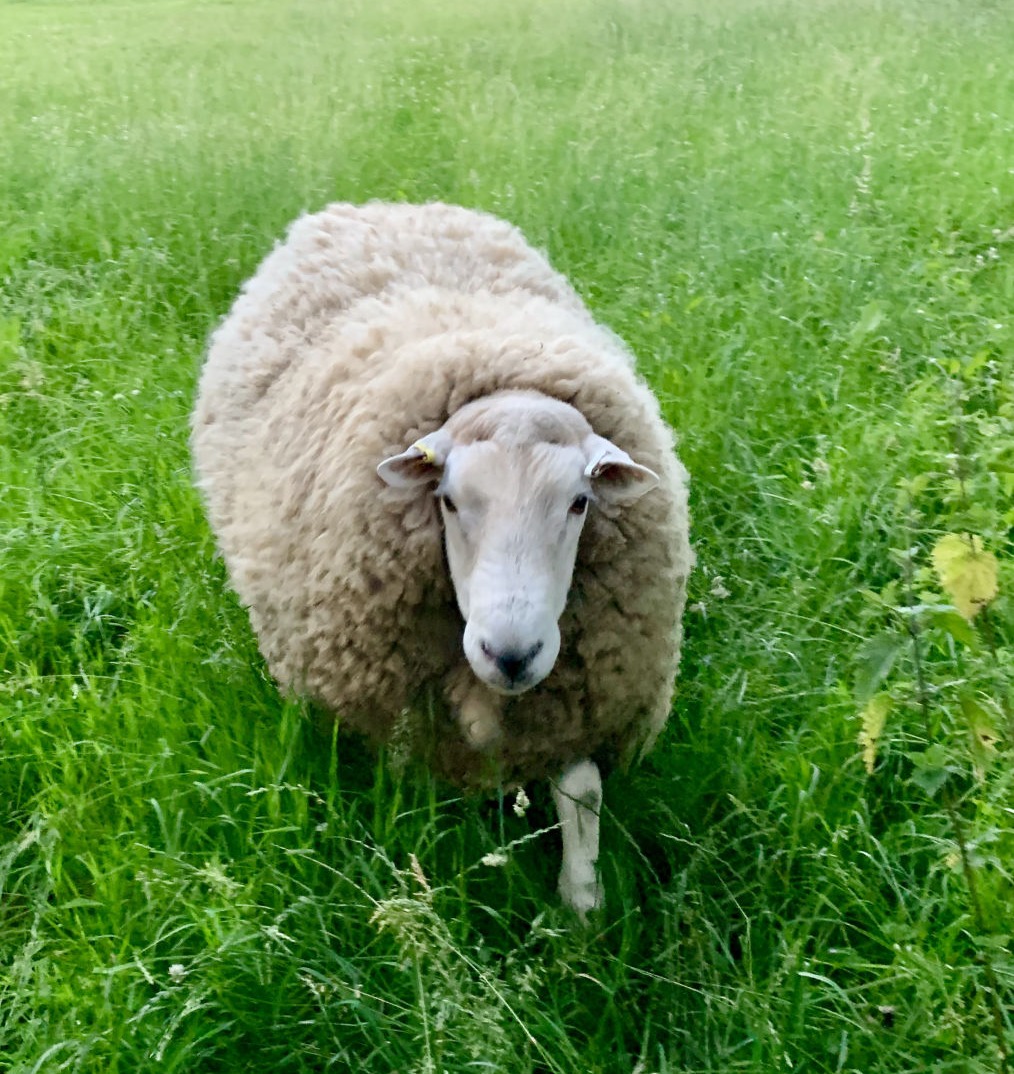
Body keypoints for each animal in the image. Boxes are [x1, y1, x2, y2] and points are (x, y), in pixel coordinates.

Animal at [191, 201, 691, 915]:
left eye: (579, 503)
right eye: (449, 500)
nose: (510, 654)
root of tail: (382, 204)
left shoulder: (579, 701)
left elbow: (583, 794)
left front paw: (582, 904)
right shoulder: (403, 717)